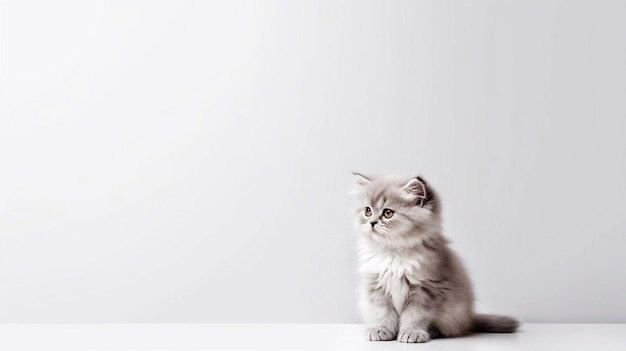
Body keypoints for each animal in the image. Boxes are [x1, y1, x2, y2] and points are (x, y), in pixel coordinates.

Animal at [352, 173, 516, 344]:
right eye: (368, 211)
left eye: (388, 213)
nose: (372, 223)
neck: (393, 253)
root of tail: (469, 318)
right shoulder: (376, 287)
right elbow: (383, 314)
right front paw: (381, 330)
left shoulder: (424, 290)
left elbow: (414, 316)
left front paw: (412, 333)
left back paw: (431, 331)